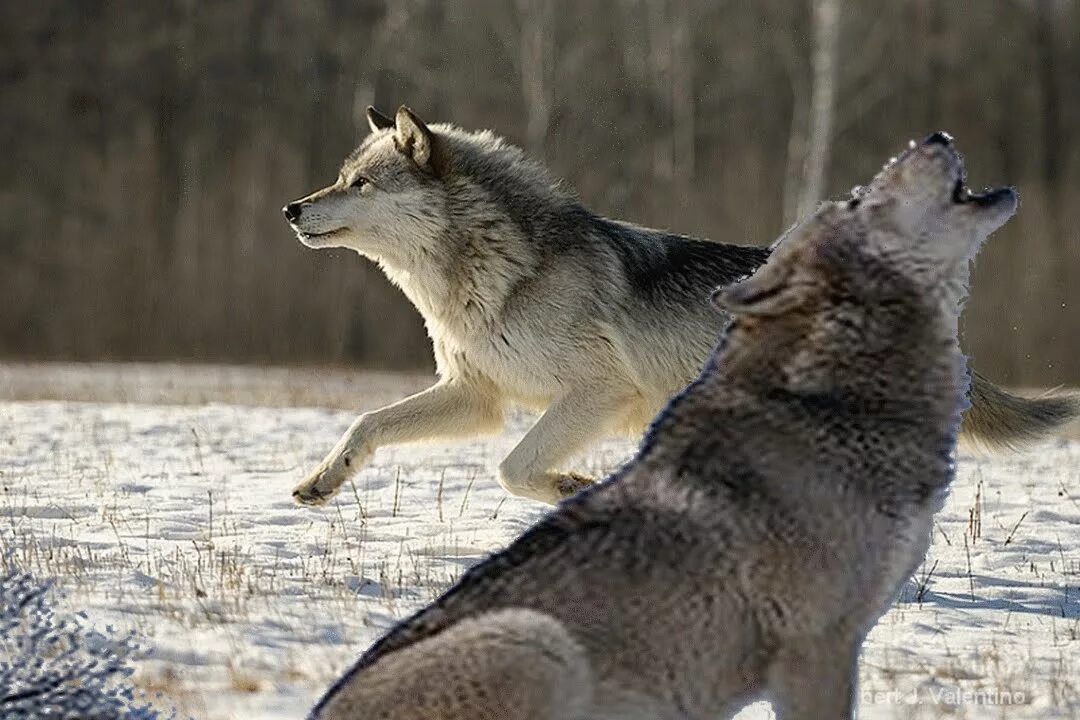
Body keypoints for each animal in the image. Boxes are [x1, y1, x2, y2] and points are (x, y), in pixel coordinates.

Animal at [308, 132, 1015, 720]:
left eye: (360, 184)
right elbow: (369, 425)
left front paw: (571, 486)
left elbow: (513, 467)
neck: (494, 275)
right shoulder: (474, 396)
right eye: (341, 178)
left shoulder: (598, 391)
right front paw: (320, 482)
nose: (293, 208)